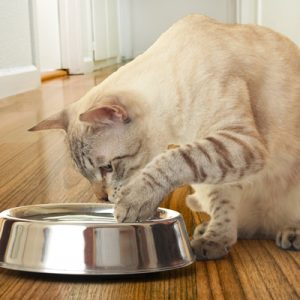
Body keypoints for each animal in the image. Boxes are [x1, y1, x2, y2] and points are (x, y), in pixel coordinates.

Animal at [29, 14, 300, 258]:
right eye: (86, 175)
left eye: (108, 167)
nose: (103, 198)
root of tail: (265, 227)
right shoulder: (221, 173)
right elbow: (222, 206)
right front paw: (214, 238)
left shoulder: (239, 142)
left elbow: (172, 160)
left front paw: (133, 201)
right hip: (207, 187)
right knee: (237, 224)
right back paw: (207, 236)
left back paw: (291, 233)